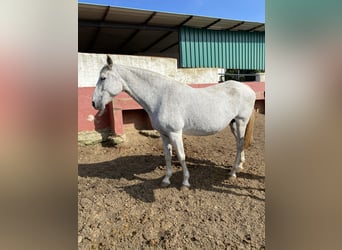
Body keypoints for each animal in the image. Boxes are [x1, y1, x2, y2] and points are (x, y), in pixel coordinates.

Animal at [92, 54, 255, 188]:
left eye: (103, 78)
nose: (94, 103)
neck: (161, 96)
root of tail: (249, 89)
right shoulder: (164, 134)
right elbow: (168, 156)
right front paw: (166, 180)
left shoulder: (175, 133)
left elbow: (181, 156)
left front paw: (185, 182)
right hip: (233, 124)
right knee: (239, 143)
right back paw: (239, 165)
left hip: (241, 122)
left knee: (239, 144)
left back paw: (233, 173)